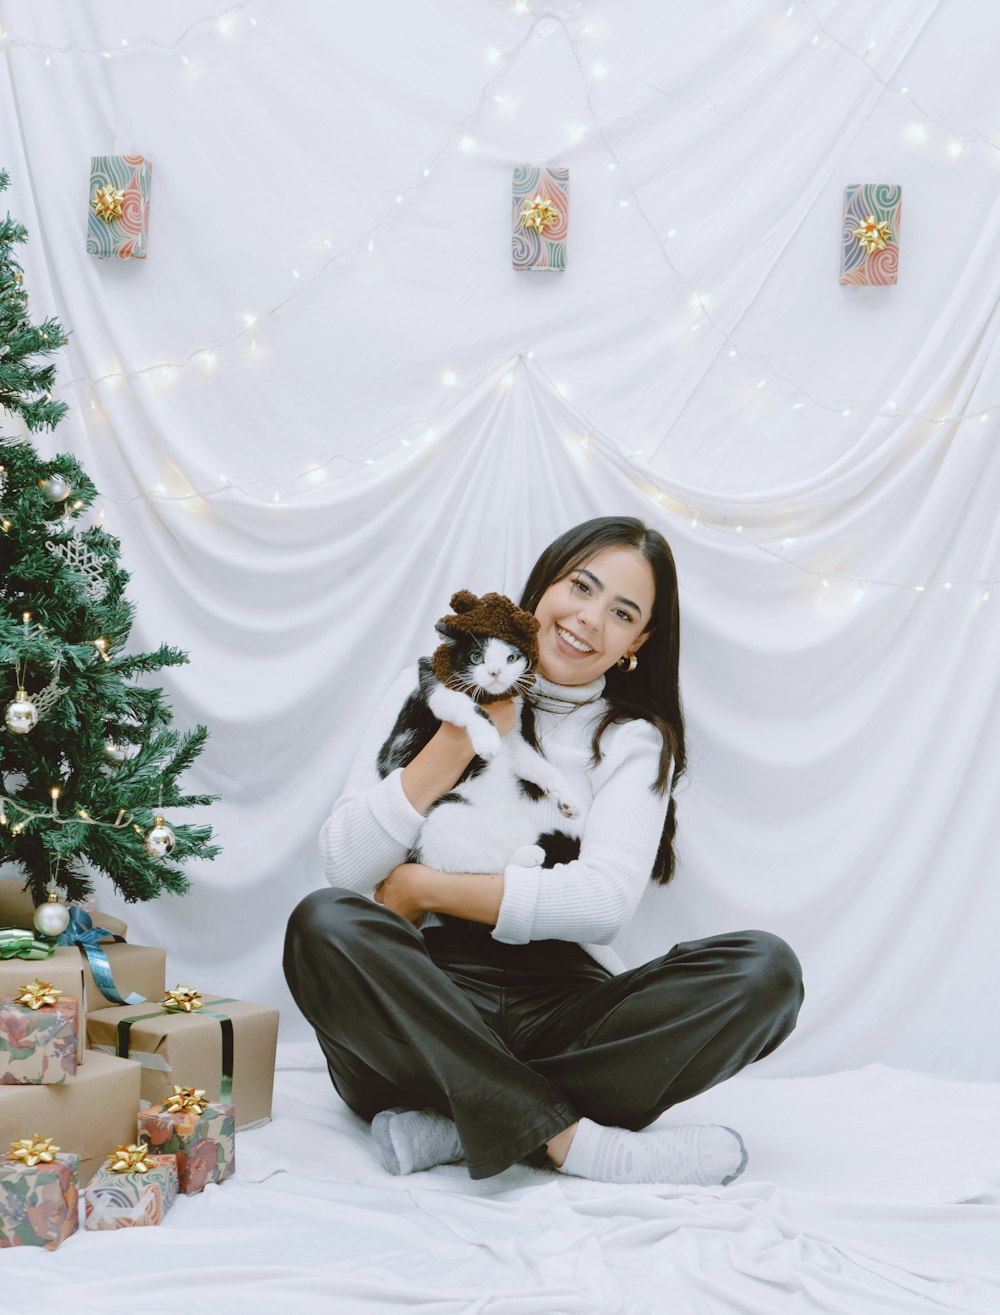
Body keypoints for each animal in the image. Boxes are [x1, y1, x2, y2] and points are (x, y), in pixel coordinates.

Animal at [381, 623, 586, 873]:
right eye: (476, 657)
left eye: (511, 658)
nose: (495, 672)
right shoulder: (437, 686)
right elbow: (470, 708)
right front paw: (487, 738)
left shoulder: (513, 742)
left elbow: (543, 768)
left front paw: (568, 799)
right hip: (444, 816)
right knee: (472, 867)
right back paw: (527, 855)